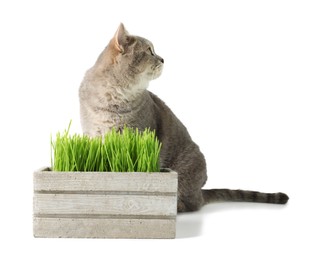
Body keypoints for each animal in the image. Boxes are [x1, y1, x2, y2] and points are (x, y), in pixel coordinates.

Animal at [79, 23, 288, 212]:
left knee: (192, 204)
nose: (163, 59)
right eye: (149, 51)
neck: (113, 98)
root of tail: (200, 191)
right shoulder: (93, 135)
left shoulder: (138, 136)